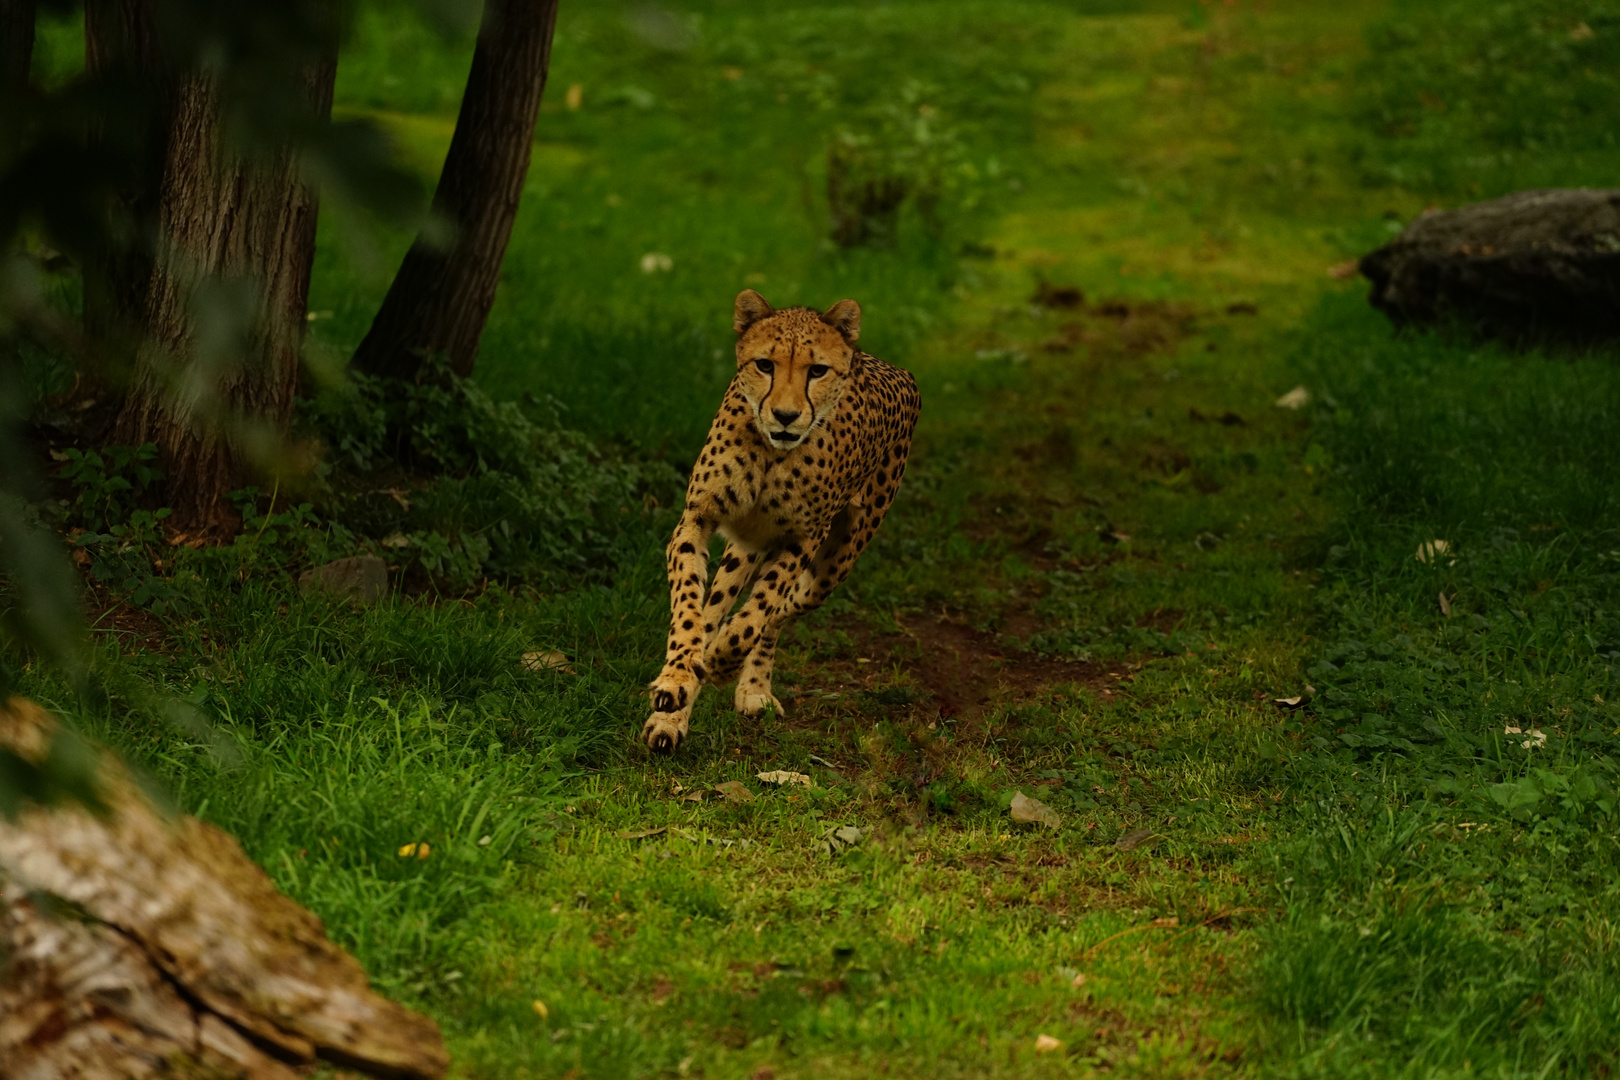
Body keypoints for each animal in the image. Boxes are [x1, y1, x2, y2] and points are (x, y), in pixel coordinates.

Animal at [644, 291, 926, 757]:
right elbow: (689, 611)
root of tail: (889, 366)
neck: (771, 453)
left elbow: (756, 616)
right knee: (716, 609)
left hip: (832, 567)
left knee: (778, 612)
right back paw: (674, 712)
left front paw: (719, 662)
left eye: (817, 370)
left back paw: (750, 684)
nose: (786, 415)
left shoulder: (803, 540)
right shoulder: (696, 519)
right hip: (745, 551)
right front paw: (678, 679)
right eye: (765, 365)